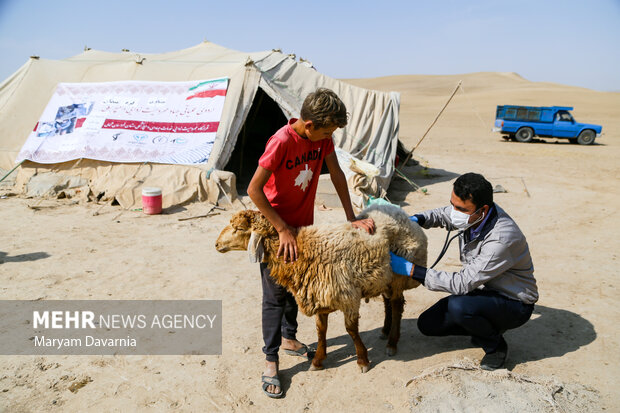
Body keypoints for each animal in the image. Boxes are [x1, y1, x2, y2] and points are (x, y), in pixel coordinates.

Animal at [214, 204, 426, 374]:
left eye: (239, 228)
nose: (216, 244)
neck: (302, 250)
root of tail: (401, 213)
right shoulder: (319, 295)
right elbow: (321, 330)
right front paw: (317, 361)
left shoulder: (348, 297)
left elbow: (351, 331)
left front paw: (362, 360)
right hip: (383, 278)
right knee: (387, 301)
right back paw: (385, 330)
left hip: (398, 278)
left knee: (397, 305)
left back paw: (392, 342)